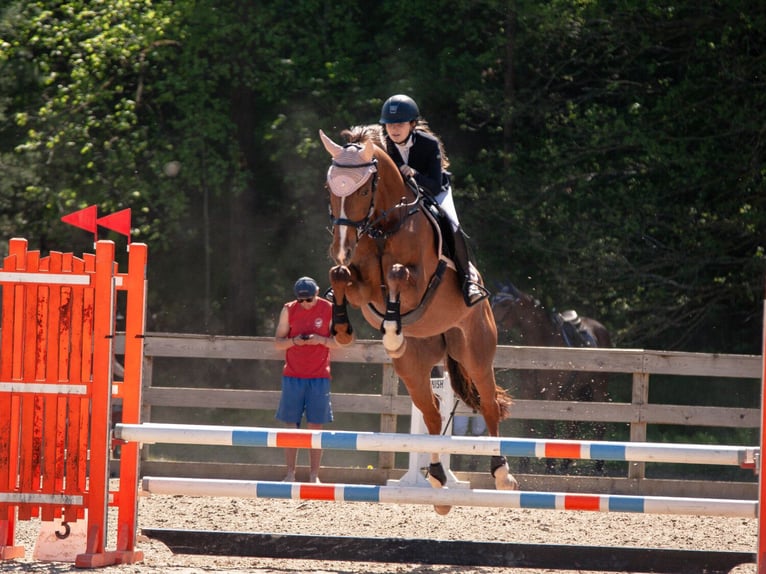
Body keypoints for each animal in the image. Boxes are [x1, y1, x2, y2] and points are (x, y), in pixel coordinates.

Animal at [318, 128, 516, 510]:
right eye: (329, 188)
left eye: (362, 191)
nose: (341, 248)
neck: (385, 227)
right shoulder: (363, 287)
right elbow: (340, 276)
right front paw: (343, 329)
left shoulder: (418, 281)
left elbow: (397, 274)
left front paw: (393, 330)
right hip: (413, 365)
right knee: (433, 413)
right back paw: (437, 478)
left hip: (475, 352)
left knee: (489, 405)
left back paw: (501, 473)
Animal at [496, 284, 616, 476]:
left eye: (505, 304)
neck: (543, 344)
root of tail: (601, 329)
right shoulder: (528, 392)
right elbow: (527, 425)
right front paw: (524, 465)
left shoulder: (550, 394)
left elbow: (550, 427)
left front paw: (549, 465)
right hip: (573, 393)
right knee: (572, 425)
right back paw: (566, 463)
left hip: (599, 387)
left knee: (599, 425)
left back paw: (598, 465)